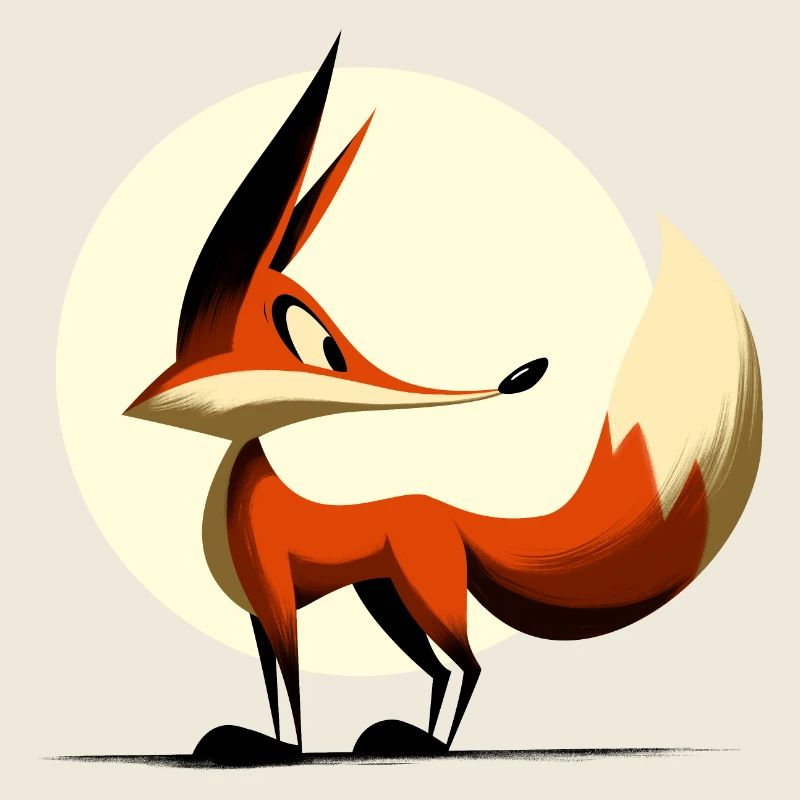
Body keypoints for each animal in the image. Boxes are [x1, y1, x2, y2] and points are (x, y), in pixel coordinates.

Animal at [124, 38, 762, 763]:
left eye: (318, 342)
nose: (163, 391)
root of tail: (447, 513)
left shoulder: (278, 599)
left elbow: (292, 683)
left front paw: (287, 750)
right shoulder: (260, 614)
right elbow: (272, 688)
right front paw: (259, 740)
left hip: (418, 593)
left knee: (469, 665)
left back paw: (430, 743)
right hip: (385, 598)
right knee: (439, 667)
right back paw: (402, 738)